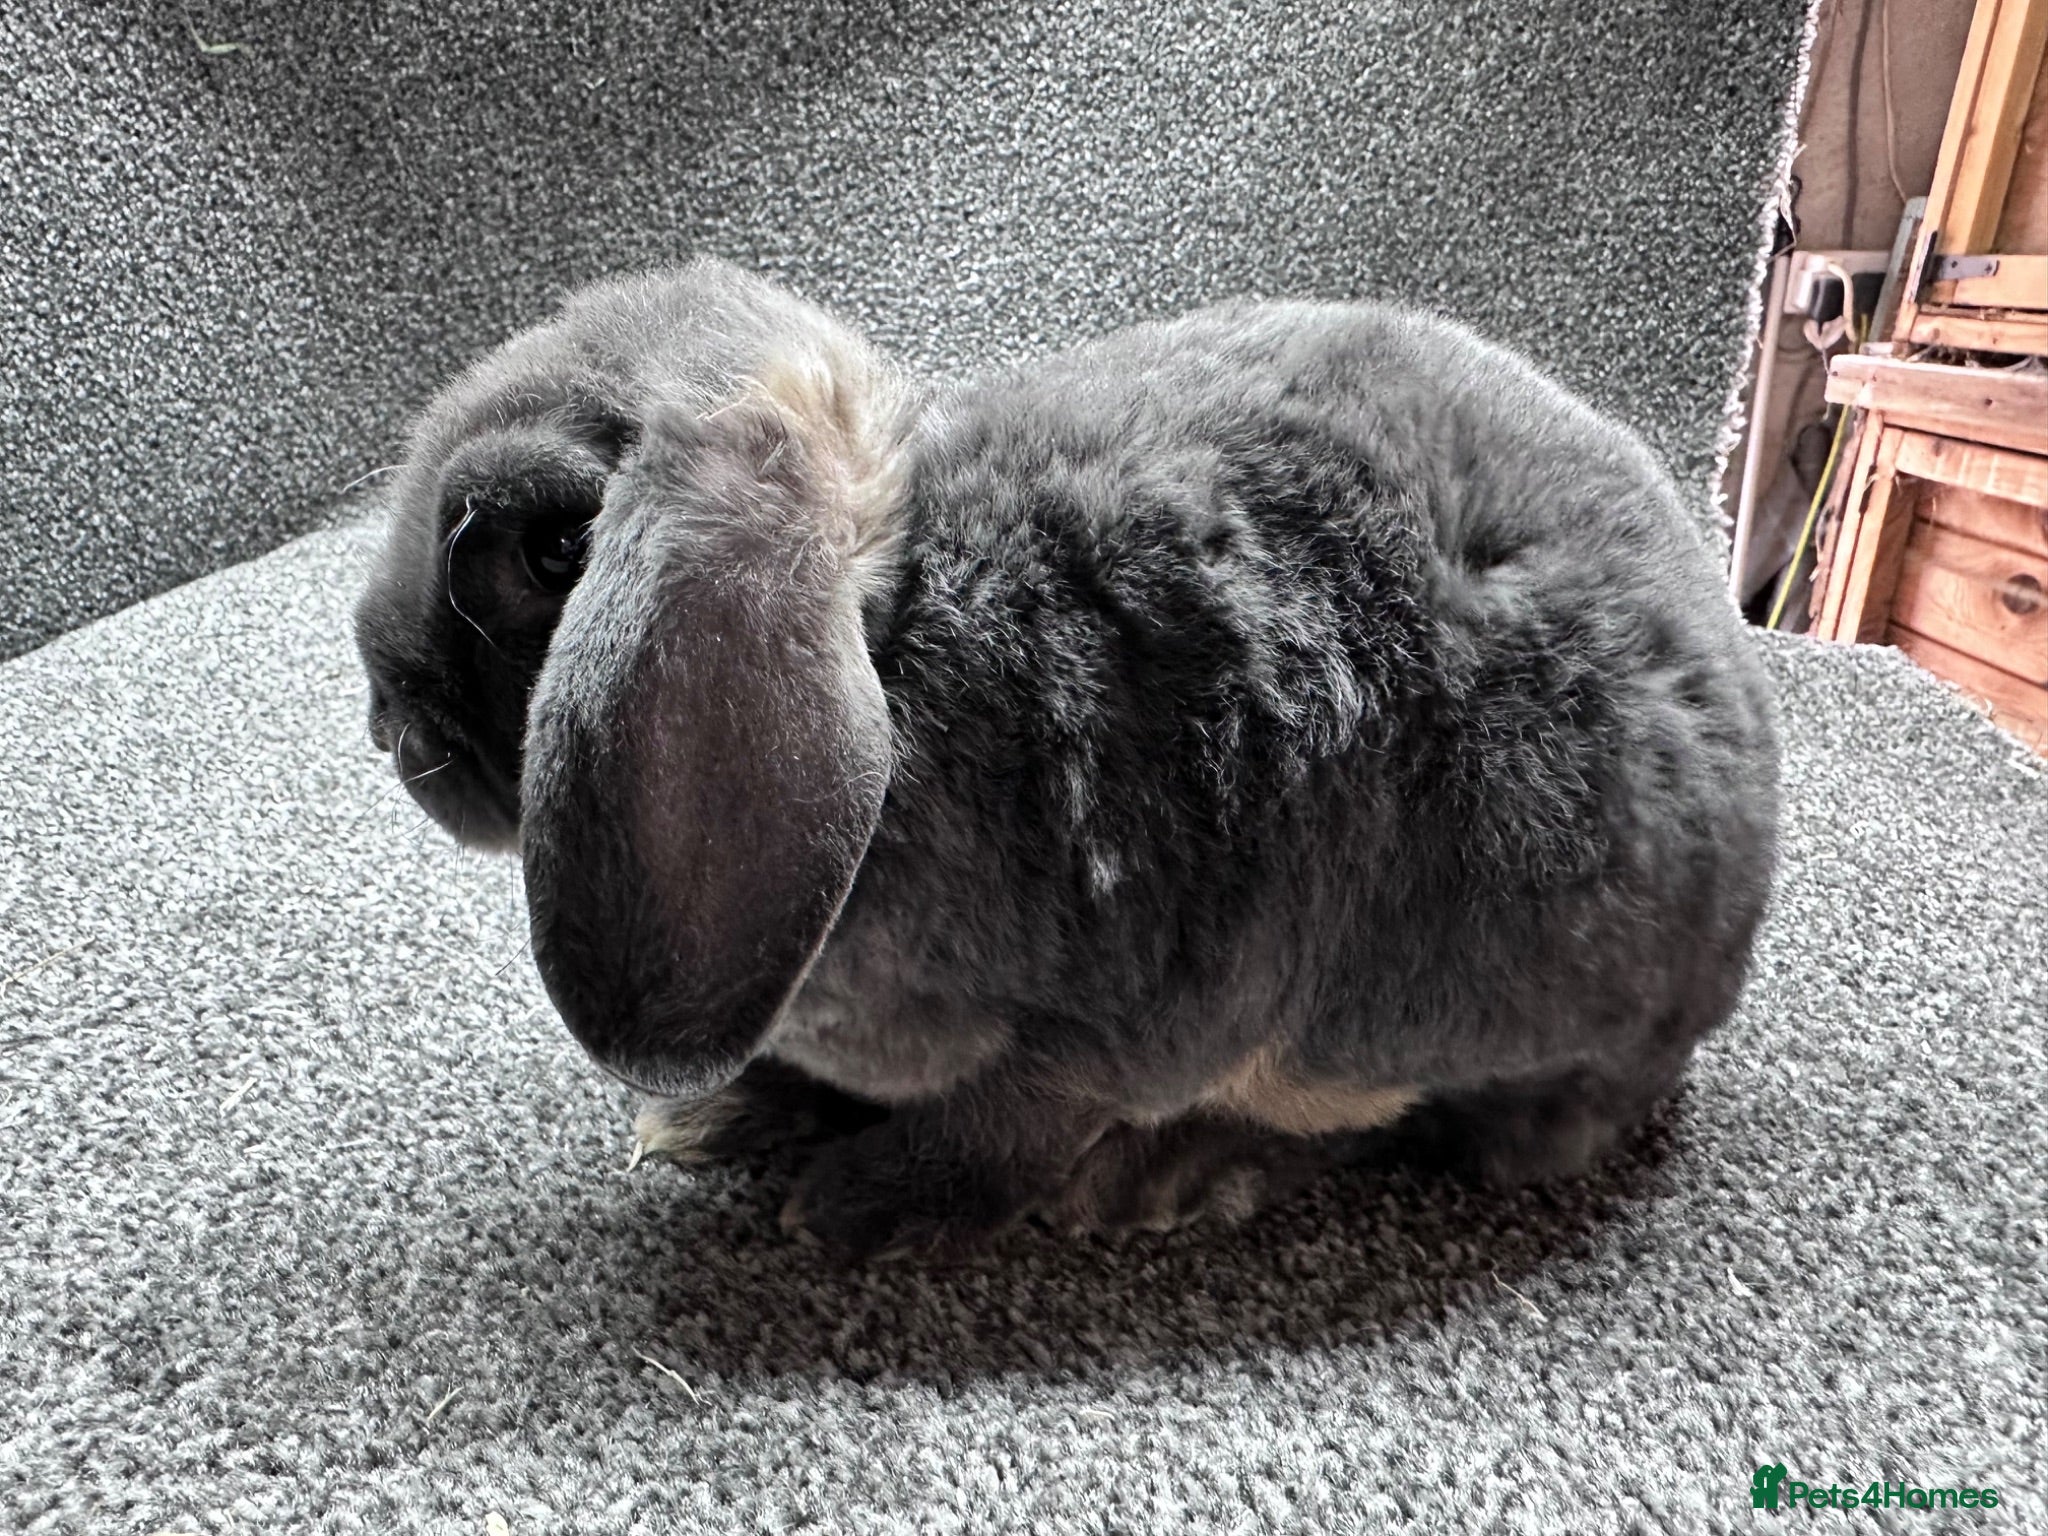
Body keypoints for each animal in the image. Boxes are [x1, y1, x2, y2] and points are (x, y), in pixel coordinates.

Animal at [354, 257, 1779, 1258]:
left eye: (551, 553)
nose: (387, 724)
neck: (893, 647)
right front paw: (726, 1113)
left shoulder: (1122, 1017)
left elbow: (1005, 1129)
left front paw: (861, 1207)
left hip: (1414, 999)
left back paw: (1167, 1178)